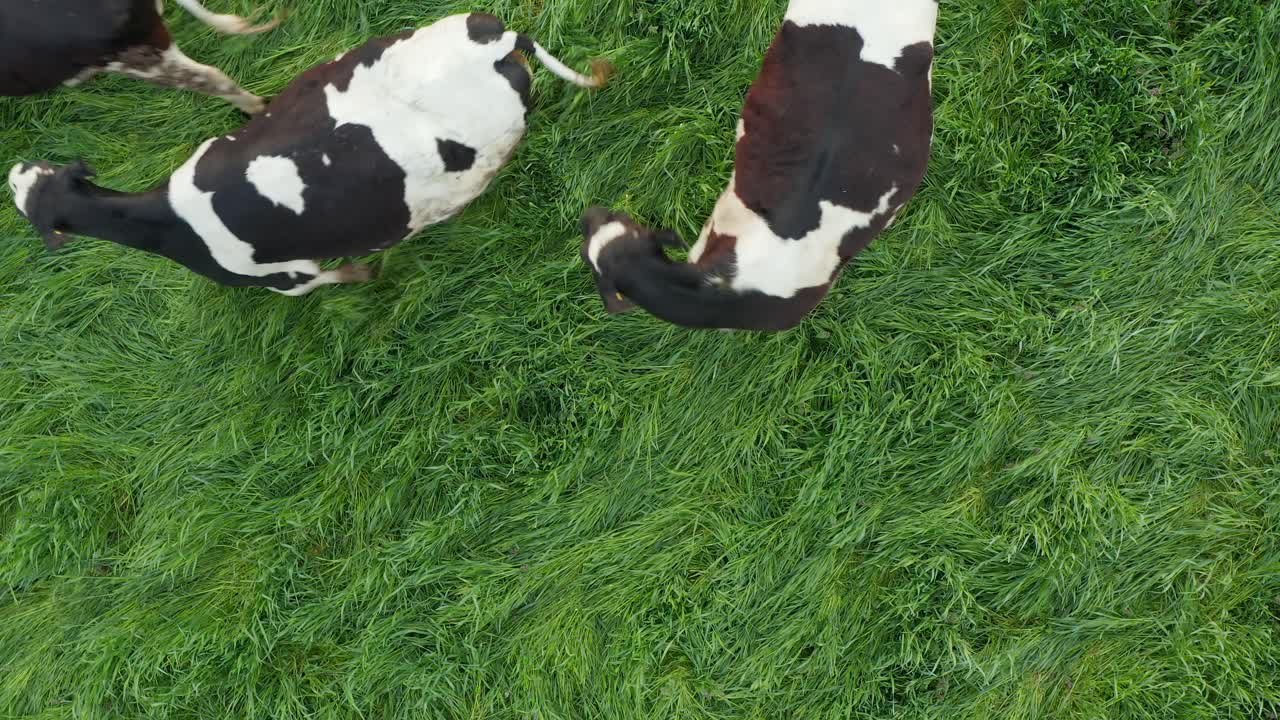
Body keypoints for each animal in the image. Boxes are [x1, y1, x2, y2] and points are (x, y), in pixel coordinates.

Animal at [8, 13, 609, 296]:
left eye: (22, 202)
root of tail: (494, 41)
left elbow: (335, 277)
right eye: (29, 174)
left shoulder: (291, 279)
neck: (174, 221)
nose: (12, 167)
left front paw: (363, 275)